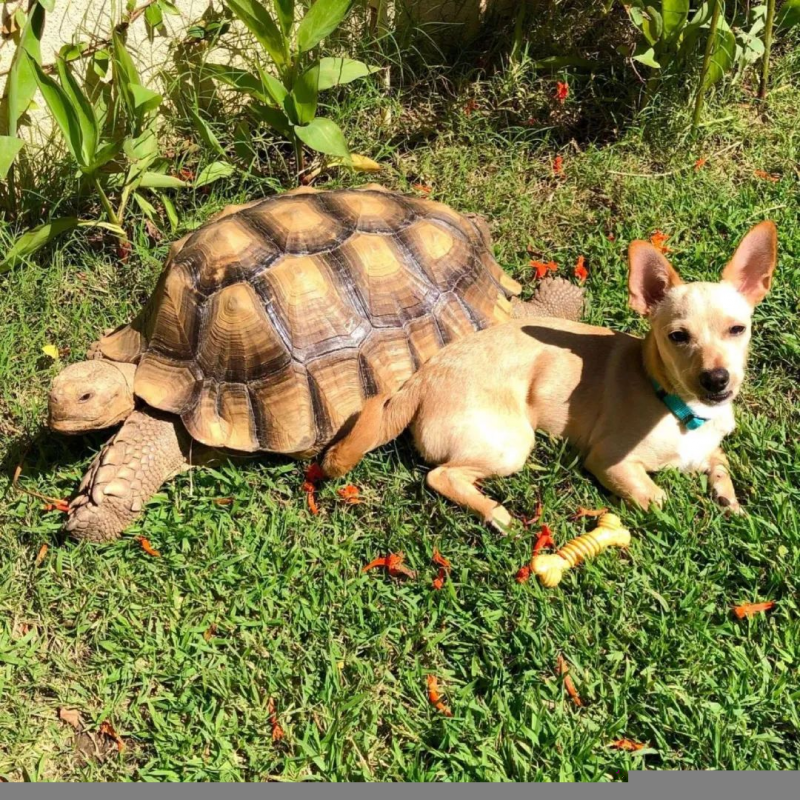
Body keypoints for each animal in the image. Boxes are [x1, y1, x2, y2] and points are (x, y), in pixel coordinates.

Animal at [322, 222, 780, 528]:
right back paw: (494, 512)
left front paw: (729, 502)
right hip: (511, 444)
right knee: (441, 475)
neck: (679, 408)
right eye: (678, 337)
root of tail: (420, 379)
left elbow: (721, 467)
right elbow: (657, 497)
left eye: (738, 329)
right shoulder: (610, 462)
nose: (717, 379)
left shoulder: (709, 449)